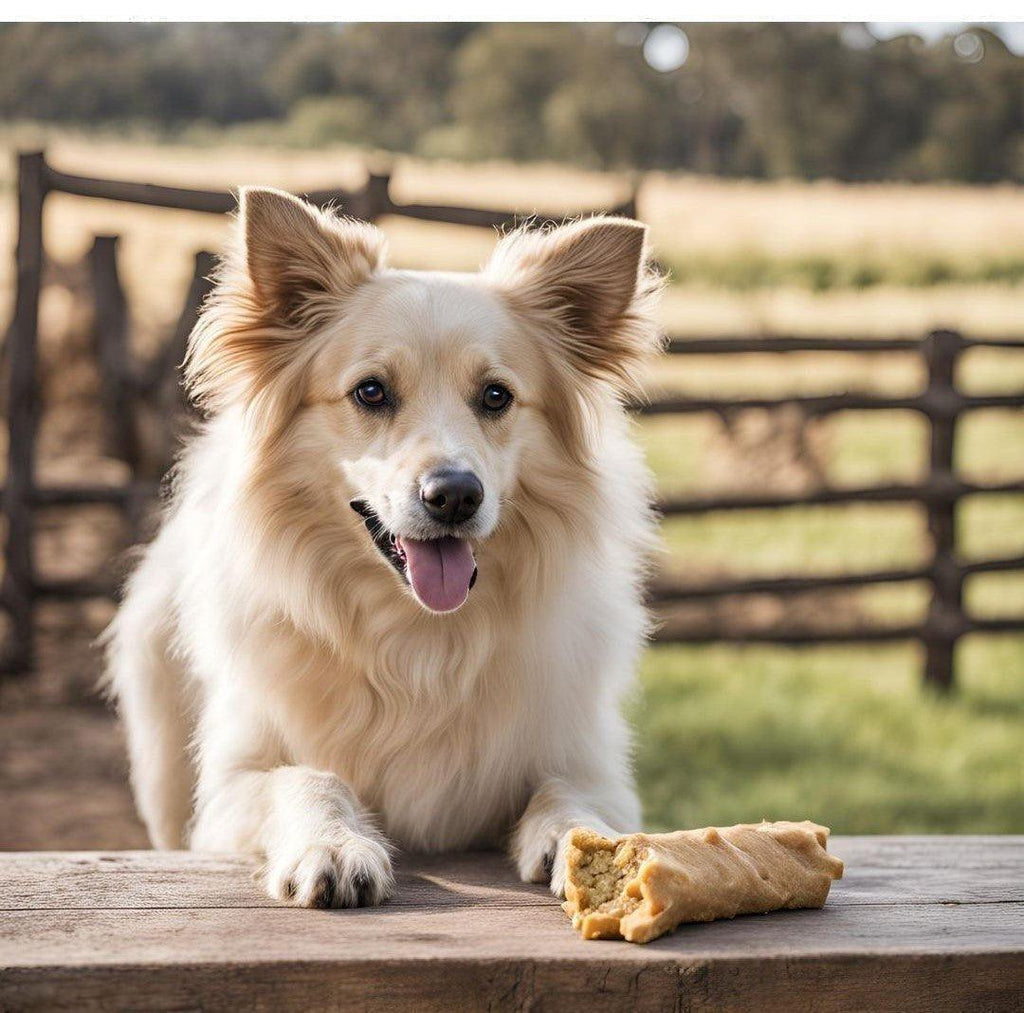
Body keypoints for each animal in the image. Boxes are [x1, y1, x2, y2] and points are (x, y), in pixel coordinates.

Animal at [105, 185, 663, 905]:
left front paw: (579, 842)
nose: (454, 495)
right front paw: (334, 845)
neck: (419, 636)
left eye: (496, 396)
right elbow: (305, 777)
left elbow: (567, 792)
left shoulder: (594, 768)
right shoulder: (226, 793)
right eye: (371, 391)